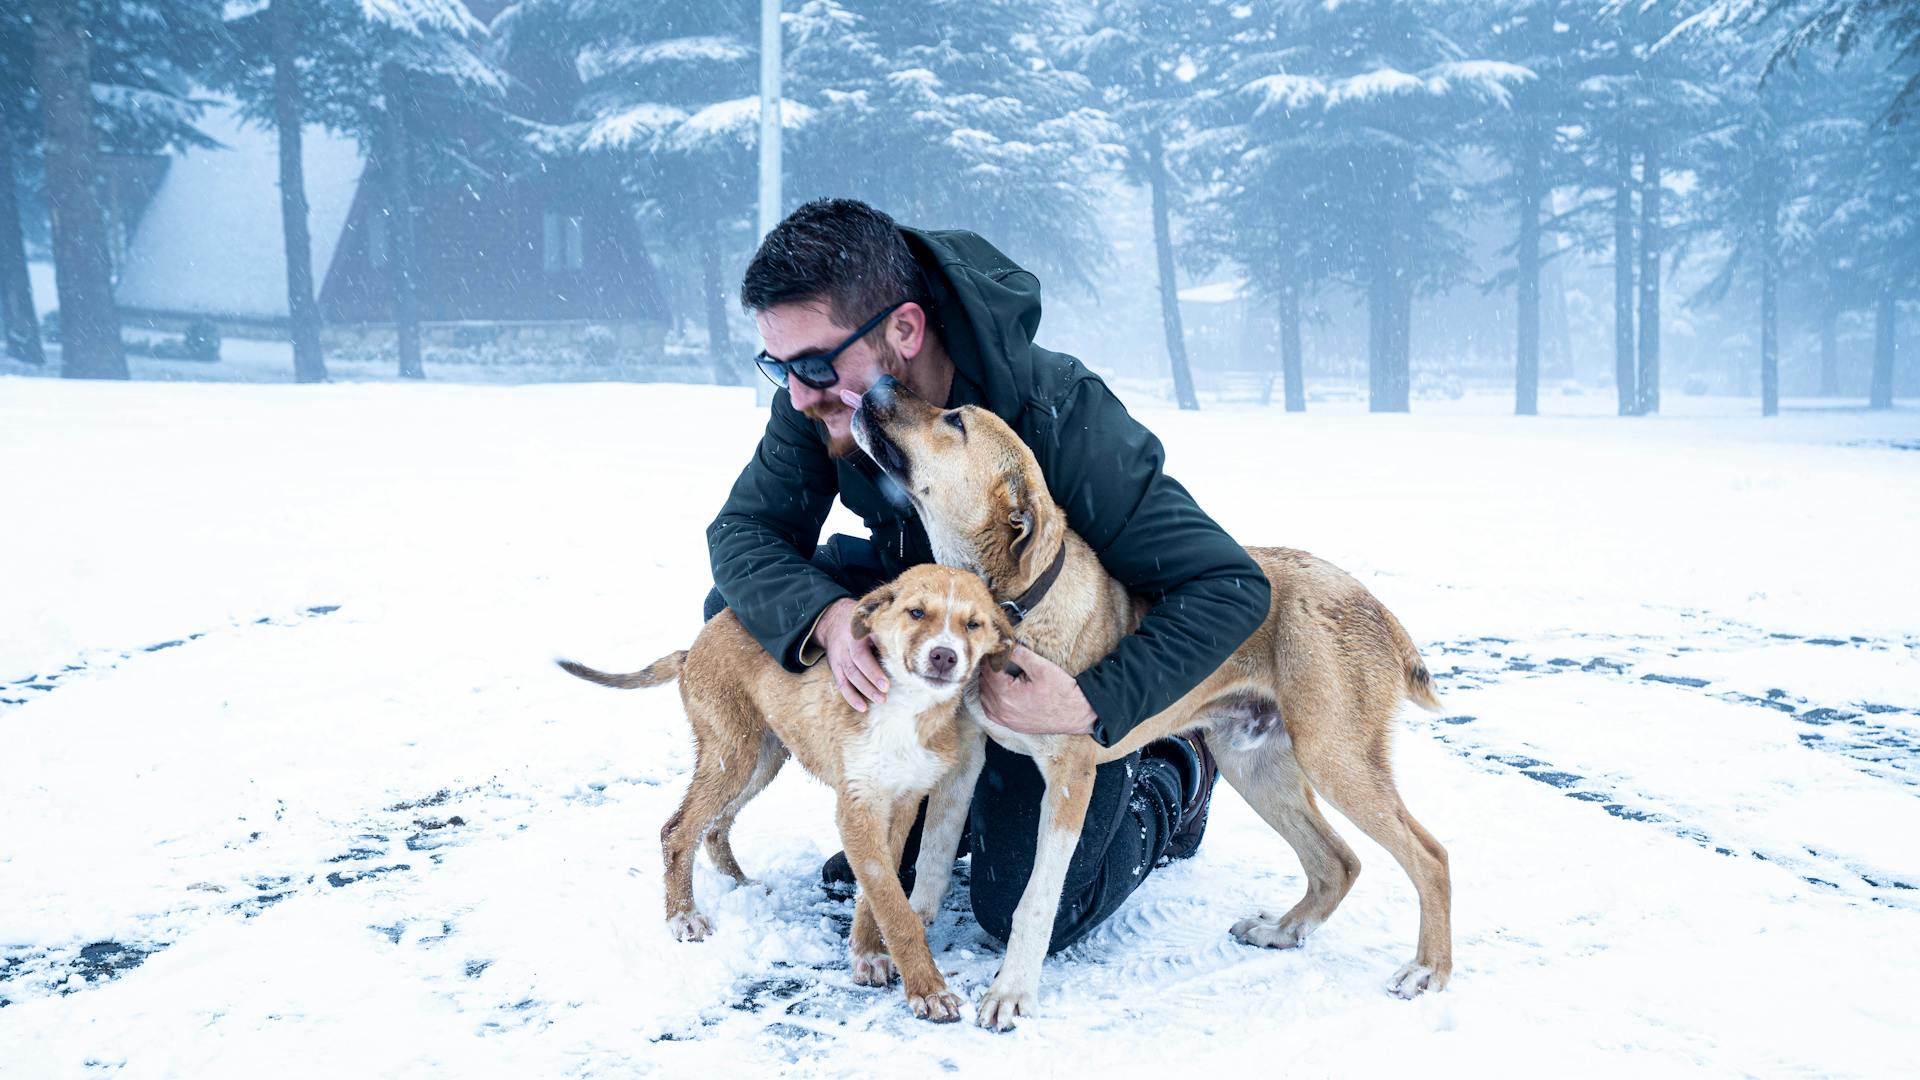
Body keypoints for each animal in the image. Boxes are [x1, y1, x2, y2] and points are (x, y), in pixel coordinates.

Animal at [560, 564, 1021, 1014]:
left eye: (974, 624)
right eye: (917, 612)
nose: (944, 655)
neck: (906, 709)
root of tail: (692, 650)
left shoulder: (902, 803)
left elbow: (876, 893)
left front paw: (869, 953)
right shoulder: (858, 807)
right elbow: (893, 905)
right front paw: (927, 988)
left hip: (763, 756)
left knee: (714, 826)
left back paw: (739, 884)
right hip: (734, 752)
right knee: (676, 830)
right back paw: (683, 916)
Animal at [856, 374, 1451, 1022]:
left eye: (956, 420)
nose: (877, 384)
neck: (1017, 608)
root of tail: (1375, 605)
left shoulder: (1070, 779)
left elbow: (1034, 898)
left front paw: (1012, 991)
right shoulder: (965, 758)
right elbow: (932, 863)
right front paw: (909, 942)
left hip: (1334, 755)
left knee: (1430, 856)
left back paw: (1428, 970)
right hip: (1254, 764)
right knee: (1337, 861)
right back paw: (1282, 931)